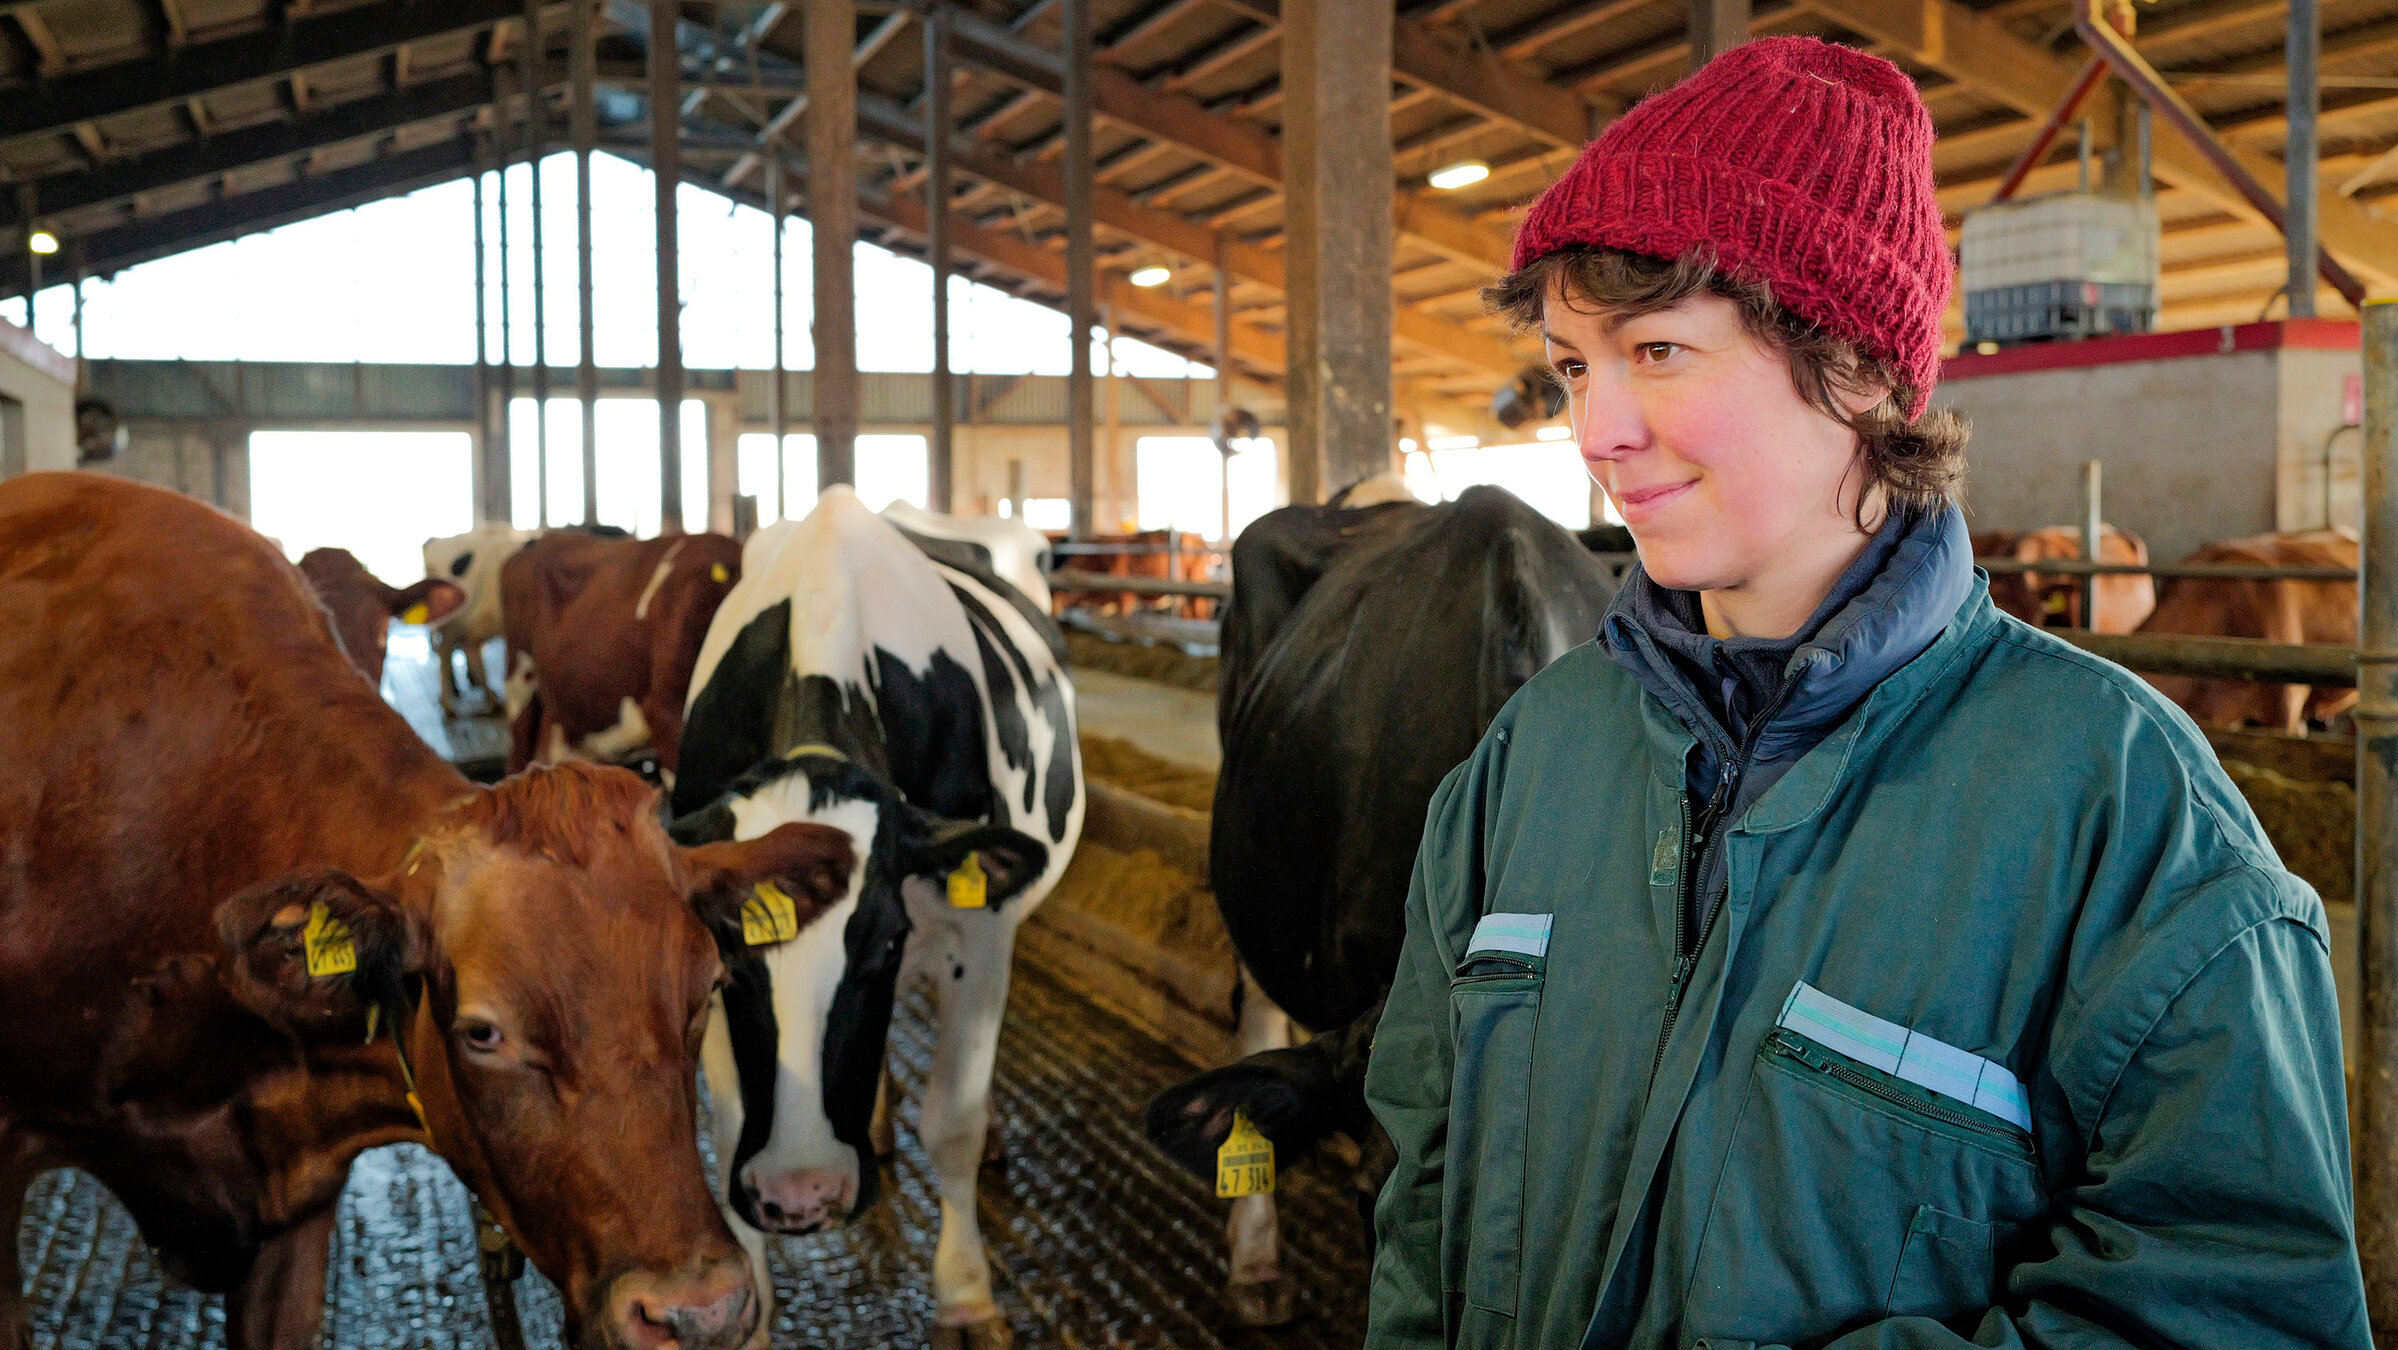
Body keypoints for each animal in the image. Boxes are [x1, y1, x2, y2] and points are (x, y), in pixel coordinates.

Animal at [423, 523, 537, 713]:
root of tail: (436, 540)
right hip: (453, 621)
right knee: (445, 652)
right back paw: (449, 703)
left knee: (469, 649)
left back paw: (491, 698)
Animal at [668, 486, 1084, 1350]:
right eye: (729, 951)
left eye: (887, 940)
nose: (802, 1194)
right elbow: (728, 1131)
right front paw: (752, 1315)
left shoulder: (979, 934)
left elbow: (953, 1123)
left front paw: (966, 1297)